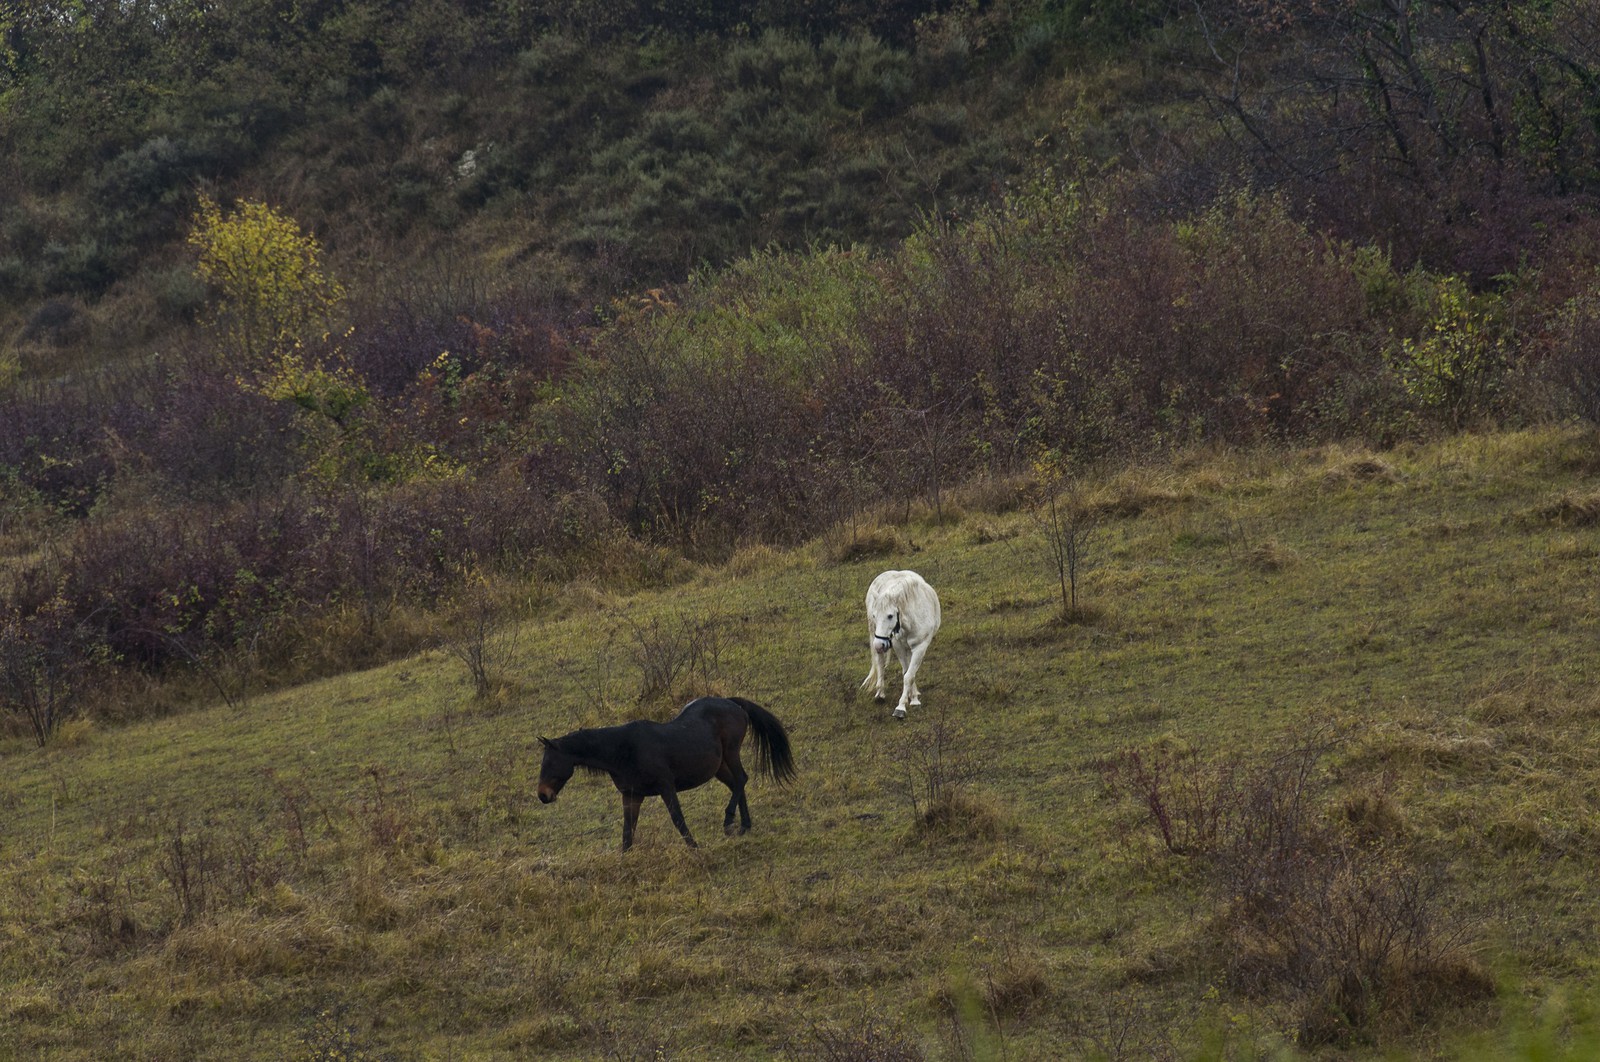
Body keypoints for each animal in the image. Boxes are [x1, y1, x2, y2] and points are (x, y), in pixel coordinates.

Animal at [536, 695, 796, 851]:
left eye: (549, 763)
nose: (542, 795)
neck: (623, 751)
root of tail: (733, 703)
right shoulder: (631, 795)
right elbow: (627, 833)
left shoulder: (666, 787)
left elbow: (678, 819)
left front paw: (694, 848)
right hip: (719, 766)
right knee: (737, 785)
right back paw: (744, 826)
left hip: (731, 753)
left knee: (742, 779)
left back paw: (729, 820)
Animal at [861, 569, 941, 719]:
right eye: (875, 615)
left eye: (890, 616)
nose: (879, 645)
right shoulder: (898, 646)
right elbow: (906, 672)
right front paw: (904, 704)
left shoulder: (920, 647)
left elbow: (909, 675)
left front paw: (909, 702)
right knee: (880, 663)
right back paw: (880, 693)